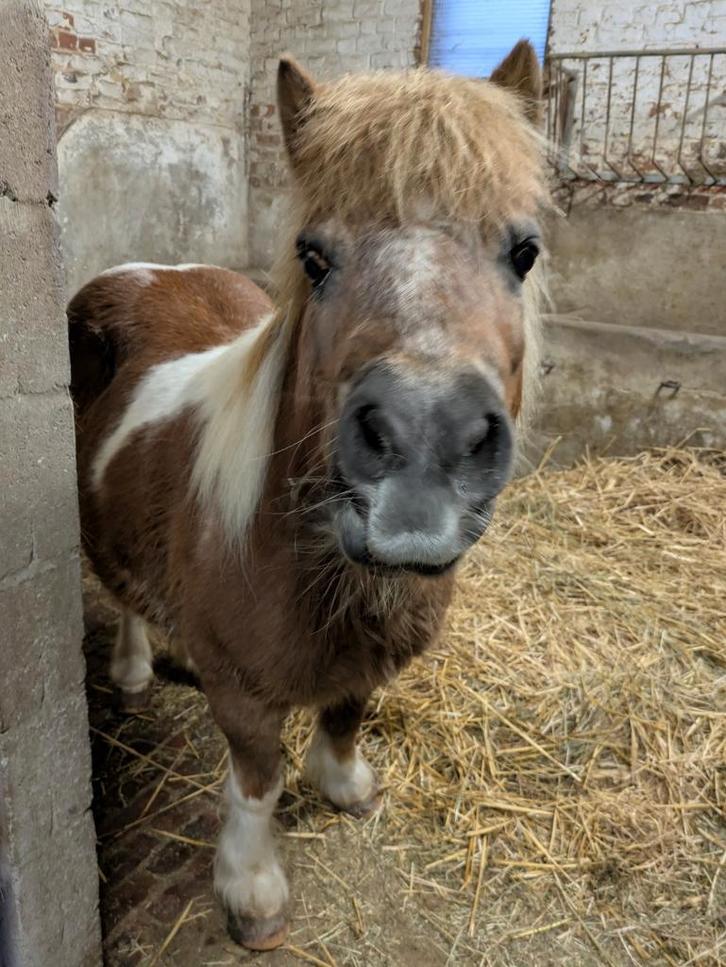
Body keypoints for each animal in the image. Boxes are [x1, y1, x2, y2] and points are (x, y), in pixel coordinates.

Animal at [68, 41, 549, 950]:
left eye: (525, 251)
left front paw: (345, 783)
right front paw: (252, 890)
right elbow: (256, 781)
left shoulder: (366, 656)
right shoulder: (246, 701)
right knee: (125, 596)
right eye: (314, 257)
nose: (422, 441)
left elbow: (347, 710)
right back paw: (138, 667)